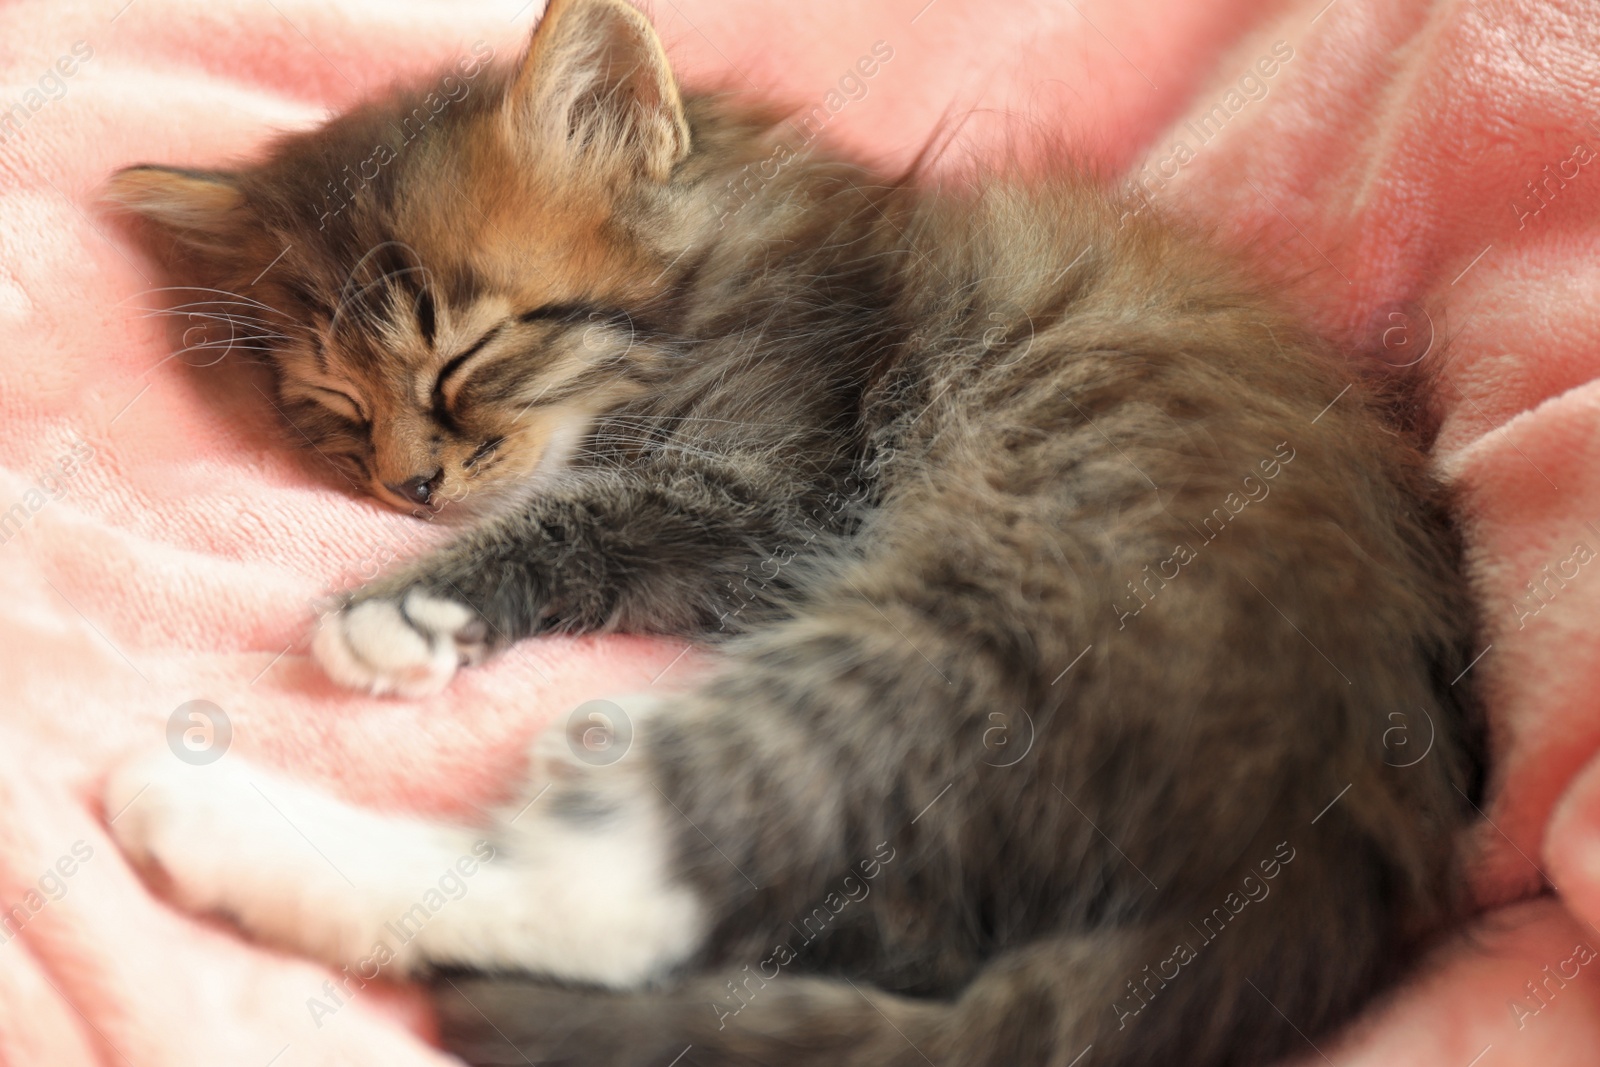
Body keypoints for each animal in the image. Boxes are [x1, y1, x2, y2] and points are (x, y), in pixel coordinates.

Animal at [103, 2, 1484, 1067]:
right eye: (336, 408)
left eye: (471, 354)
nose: (411, 486)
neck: (743, 241)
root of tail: (1323, 847)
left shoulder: (773, 476)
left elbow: (587, 505)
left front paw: (394, 606)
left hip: (978, 629)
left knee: (621, 891)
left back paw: (196, 812)